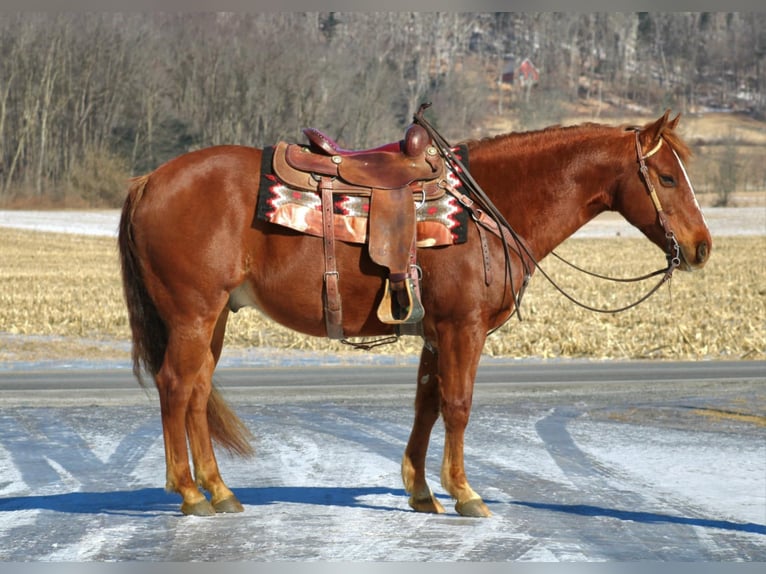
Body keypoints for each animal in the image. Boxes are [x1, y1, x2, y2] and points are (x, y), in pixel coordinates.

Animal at [118, 108, 712, 516]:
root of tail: (149, 180)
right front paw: (465, 492)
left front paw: (422, 490)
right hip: (193, 316)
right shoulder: (463, 329)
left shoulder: (434, 332)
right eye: (667, 178)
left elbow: (426, 405)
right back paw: (190, 492)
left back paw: (219, 489)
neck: (486, 207)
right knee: (176, 386)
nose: (701, 247)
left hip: (213, 318)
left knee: (197, 391)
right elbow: (457, 405)